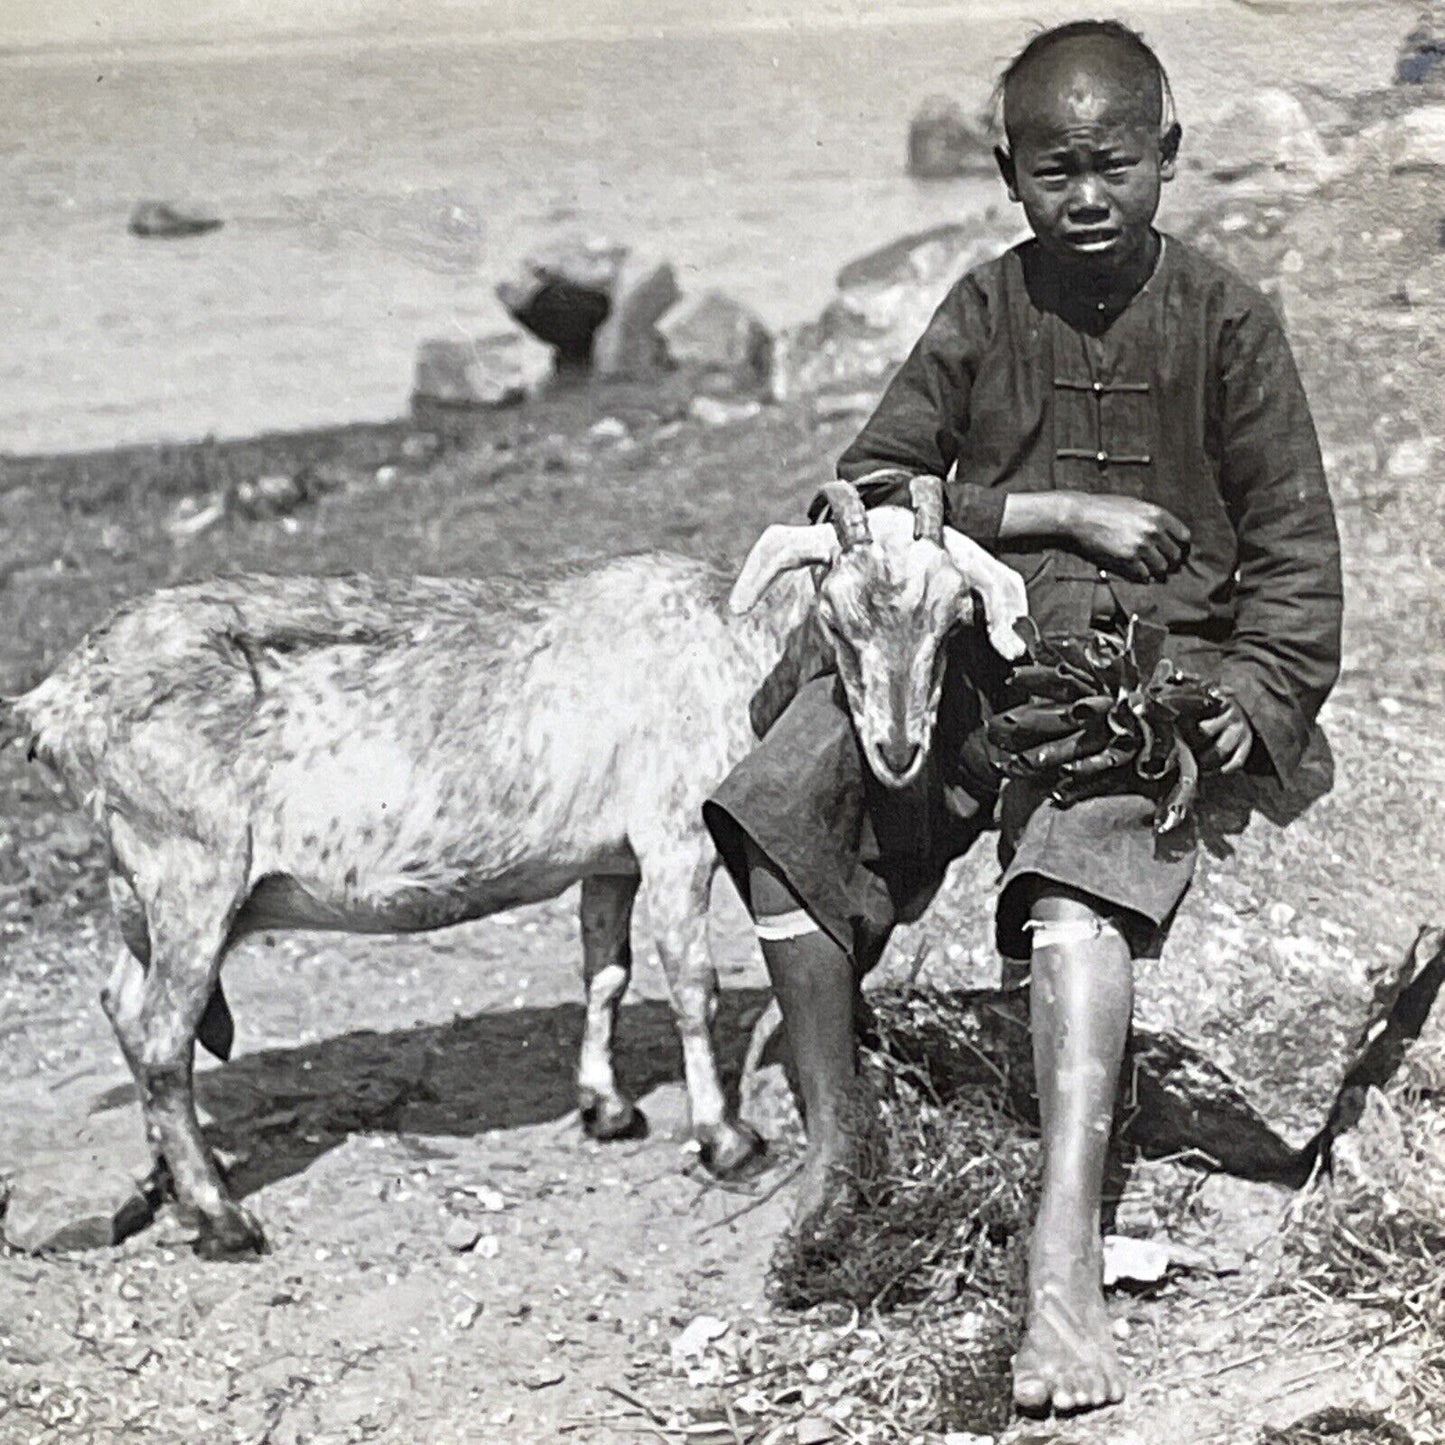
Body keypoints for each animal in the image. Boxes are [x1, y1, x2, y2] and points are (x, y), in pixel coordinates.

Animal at [11, 479, 1028, 1260]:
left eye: (952, 619)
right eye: (837, 614)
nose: (896, 750)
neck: (729, 649)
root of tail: (55, 702)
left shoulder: (610, 858)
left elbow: (605, 969)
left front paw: (606, 1108)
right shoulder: (673, 835)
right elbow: (691, 981)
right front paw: (725, 1137)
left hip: (142, 882)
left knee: (122, 1003)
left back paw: (179, 1175)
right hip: (192, 870)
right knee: (159, 1035)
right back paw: (222, 1217)